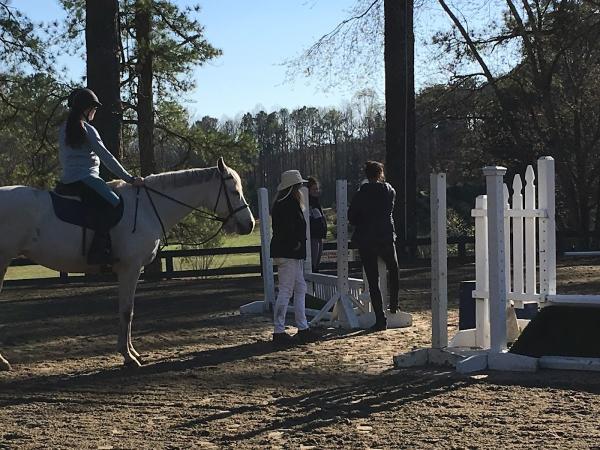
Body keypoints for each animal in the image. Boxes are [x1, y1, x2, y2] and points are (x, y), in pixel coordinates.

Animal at [0, 158, 254, 370]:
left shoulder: (133, 270)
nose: (249, 224)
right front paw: (127, 356)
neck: (147, 209)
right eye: (234, 191)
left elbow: (127, 310)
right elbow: (127, 311)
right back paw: (3, 362)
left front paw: (133, 352)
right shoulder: (130, 269)